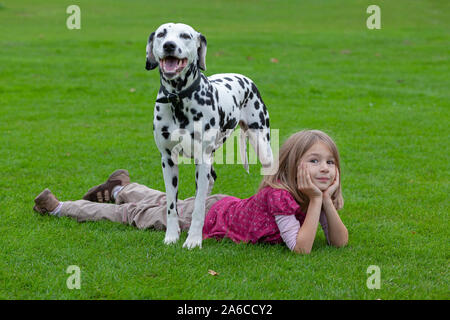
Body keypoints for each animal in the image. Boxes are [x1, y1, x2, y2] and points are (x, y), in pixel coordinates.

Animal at [146, 22, 272, 250]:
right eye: (161, 34)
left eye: (185, 35)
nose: (169, 45)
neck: (179, 100)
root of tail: (245, 78)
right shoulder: (168, 161)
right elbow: (171, 205)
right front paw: (172, 236)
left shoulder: (202, 159)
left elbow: (197, 208)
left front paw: (193, 240)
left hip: (263, 147)